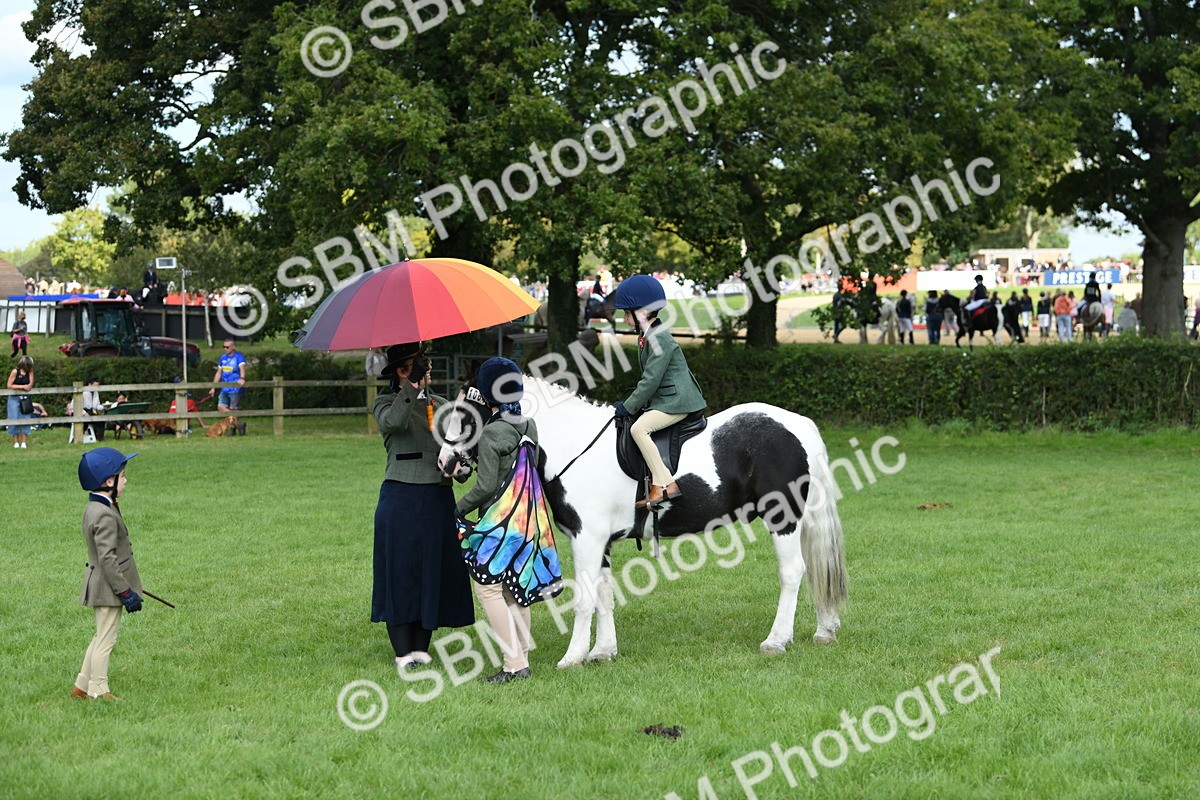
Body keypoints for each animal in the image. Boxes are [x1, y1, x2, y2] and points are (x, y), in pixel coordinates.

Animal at [437, 376, 849, 668]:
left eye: (467, 415)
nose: (446, 462)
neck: (575, 445)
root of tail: (799, 425)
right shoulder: (600, 543)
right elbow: (603, 595)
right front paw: (602, 651)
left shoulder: (586, 539)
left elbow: (584, 599)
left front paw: (573, 657)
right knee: (816, 569)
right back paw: (825, 630)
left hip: (783, 518)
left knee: (793, 572)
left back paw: (776, 640)